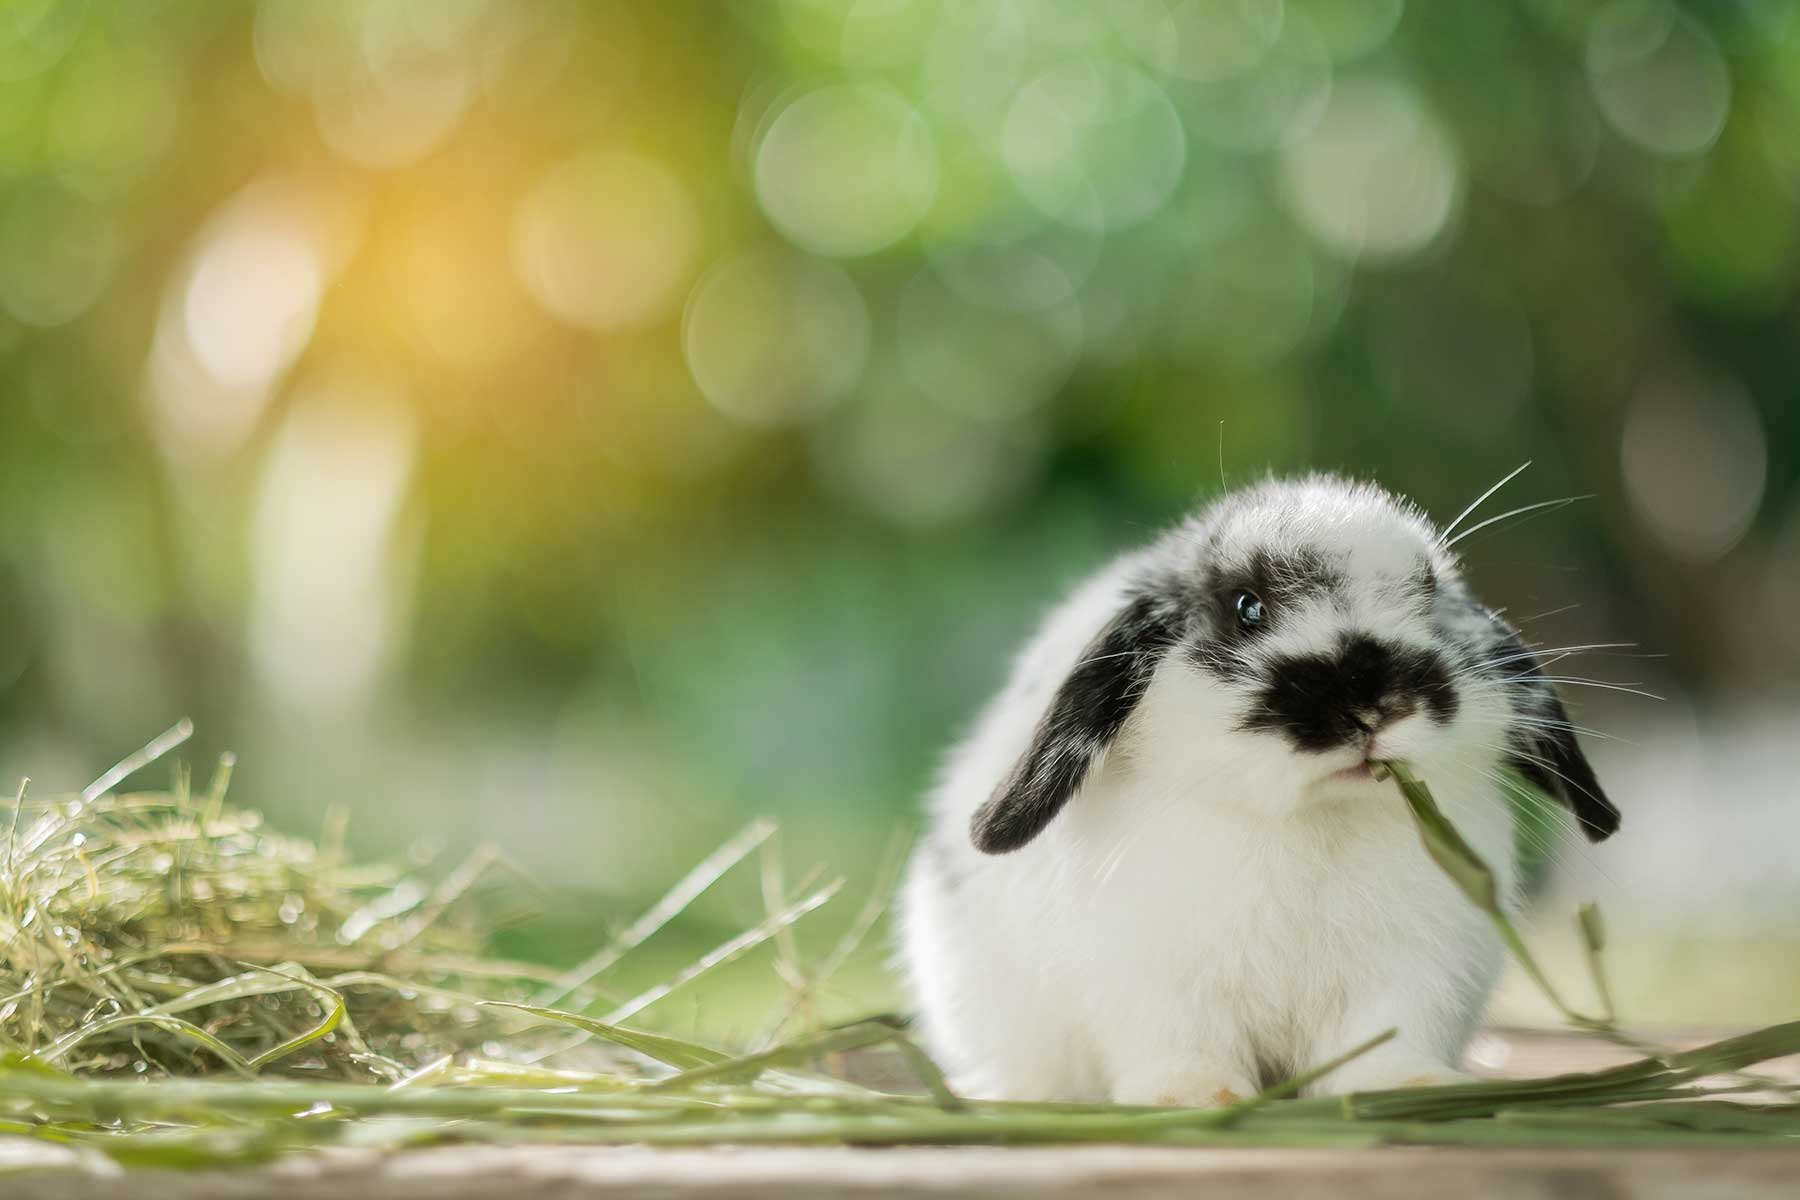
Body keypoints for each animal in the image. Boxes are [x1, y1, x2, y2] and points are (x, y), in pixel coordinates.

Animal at [900, 471, 1620, 1108]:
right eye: (1248, 608)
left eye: (1425, 594)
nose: (1371, 705)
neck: (1312, 821)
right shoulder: (1155, 981)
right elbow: (1184, 1049)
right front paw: (1194, 1098)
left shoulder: (1412, 975)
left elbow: (1387, 1042)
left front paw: (1411, 1086)